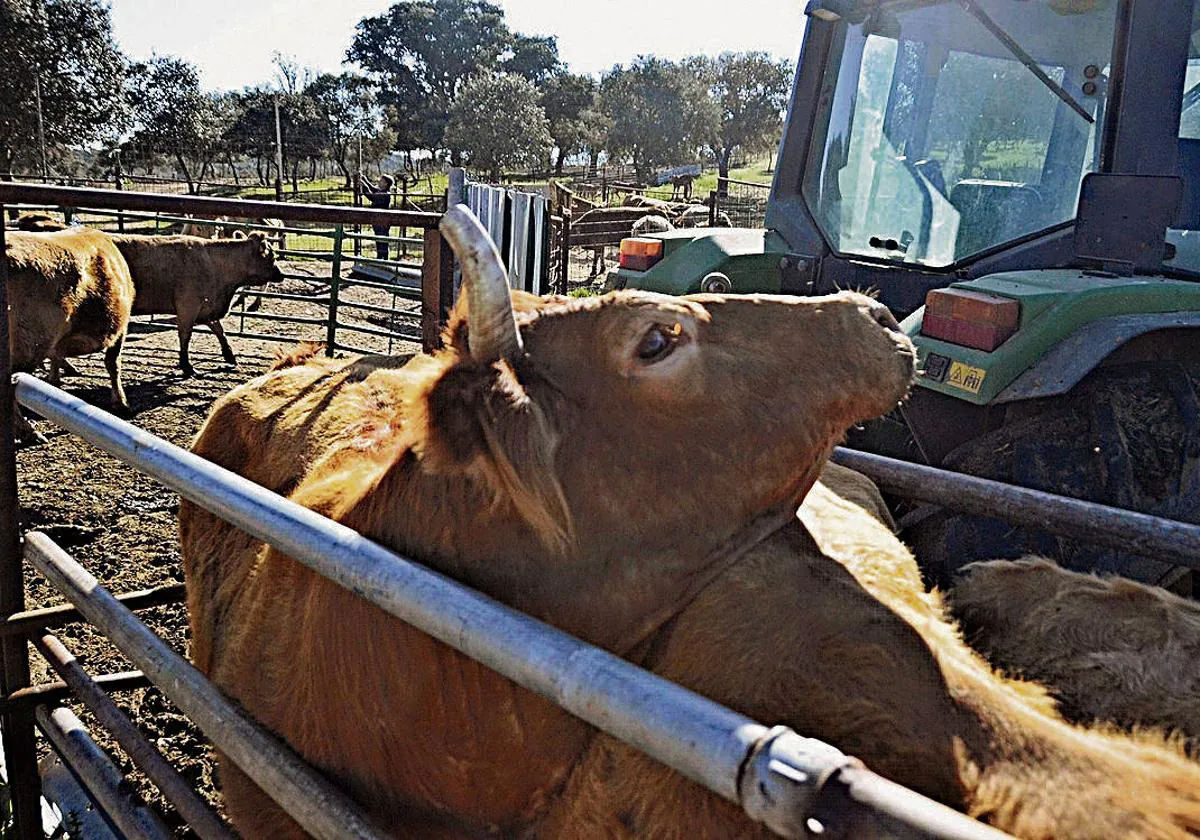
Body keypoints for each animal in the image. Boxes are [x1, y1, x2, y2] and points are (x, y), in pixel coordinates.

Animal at [4, 228, 135, 439]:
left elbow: (56, 360)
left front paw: (55, 380)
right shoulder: (121, 329)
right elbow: (113, 363)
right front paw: (121, 403)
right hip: (28, 347)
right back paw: (30, 432)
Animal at [108, 229, 285, 374]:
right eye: (272, 257)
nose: (282, 275)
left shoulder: (206, 307)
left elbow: (219, 330)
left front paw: (229, 356)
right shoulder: (188, 307)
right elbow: (185, 336)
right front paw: (186, 365)